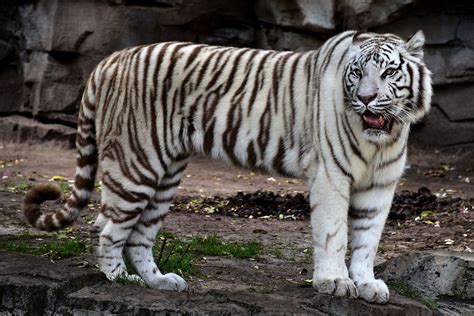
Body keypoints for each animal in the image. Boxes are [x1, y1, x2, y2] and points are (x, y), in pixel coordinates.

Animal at [24, 30, 432, 304]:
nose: (366, 98)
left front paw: (366, 284)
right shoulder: (330, 176)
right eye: (356, 73)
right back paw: (119, 279)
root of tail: (112, 59)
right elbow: (335, 235)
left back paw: (159, 282)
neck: (383, 137)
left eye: (388, 73)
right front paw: (334, 283)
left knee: (140, 235)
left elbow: (368, 240)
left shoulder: (381, 186)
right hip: (135, 163)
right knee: (108, 227)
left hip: (165, 174)